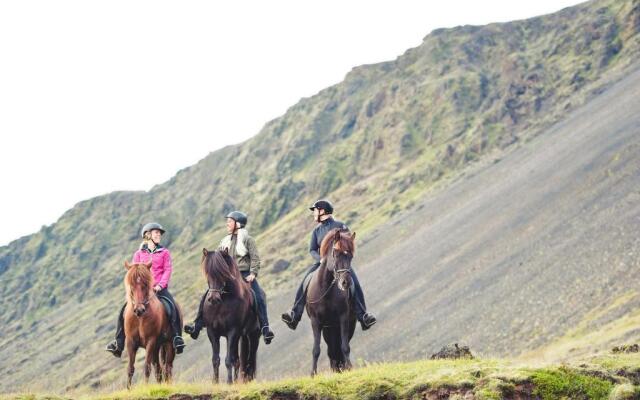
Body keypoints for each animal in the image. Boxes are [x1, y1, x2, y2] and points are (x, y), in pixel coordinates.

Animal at [122, 260, 180, 390]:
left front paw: (145, 387)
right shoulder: (130, 341)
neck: (139, 319)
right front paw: (128, 389)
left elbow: (146, 367)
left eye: (145, 285)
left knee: (167, 367)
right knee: (158, 368)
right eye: (131, 286)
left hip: (168, 345)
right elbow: (130, 368)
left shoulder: (150, 341)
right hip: (157, 348)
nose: (139, 310)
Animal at [200, 248, 260, 382]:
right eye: (207, 273)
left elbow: (228, 360)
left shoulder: (233, 331)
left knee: (249, 360)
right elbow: (215, 360)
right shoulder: (212, 332)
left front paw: (229, 382)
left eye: (223, 273)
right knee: (238, 361)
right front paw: (215, 382)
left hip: (253, 335)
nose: (213, 299)